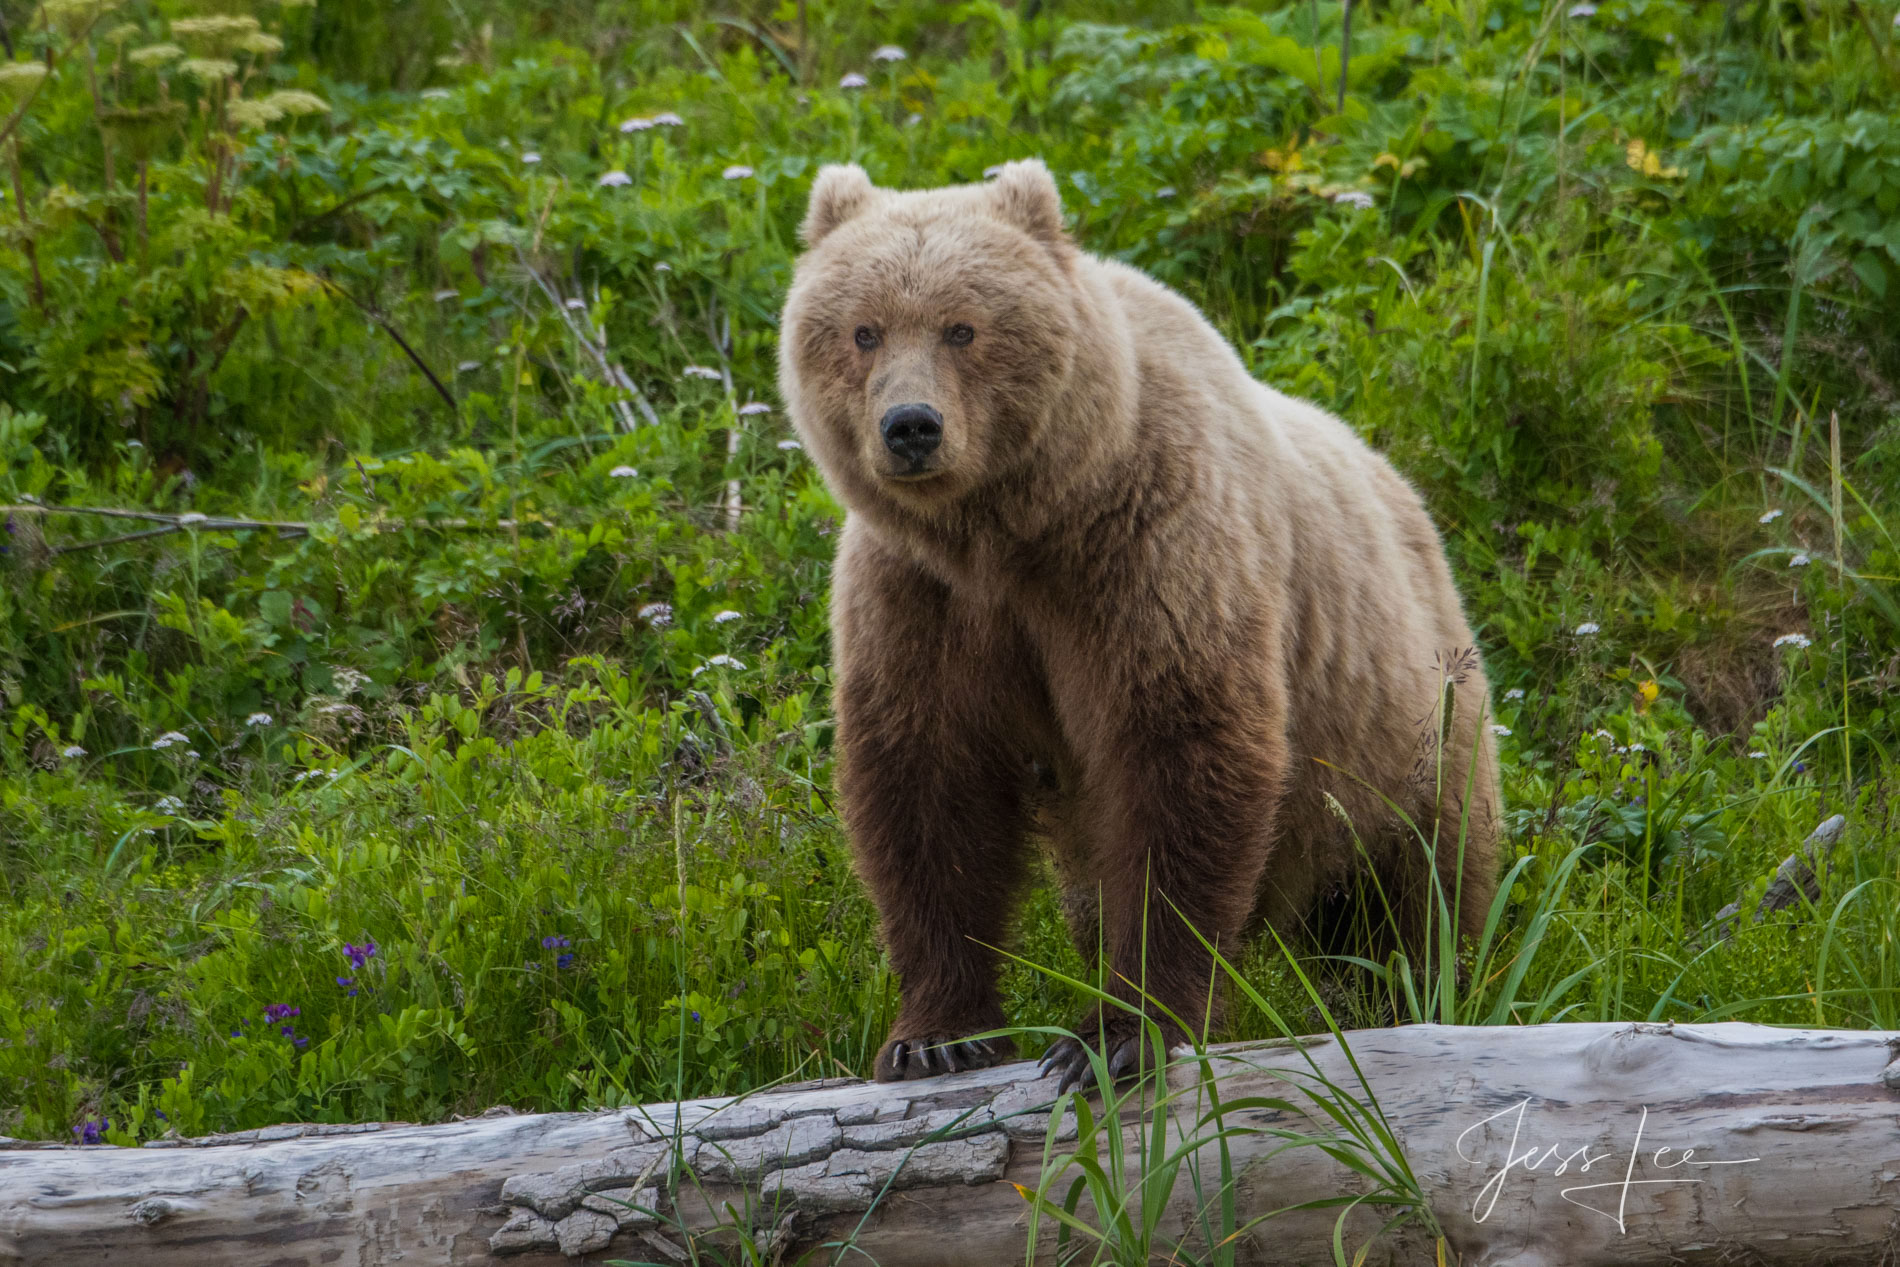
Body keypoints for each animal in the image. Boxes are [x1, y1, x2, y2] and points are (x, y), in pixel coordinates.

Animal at [771, 158, 1497, 1094]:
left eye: (962, 327)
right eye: (863, 330)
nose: (911, 427)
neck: (1012, 532)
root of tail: (1409, 493)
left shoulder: (1147, 554)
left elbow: (1177, 757)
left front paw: (1117, 1034)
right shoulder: (920, 601)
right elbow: (927, 788)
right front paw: (937, 1035)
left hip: (1404, 718)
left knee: (1419, 884)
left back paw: (1418, 986)